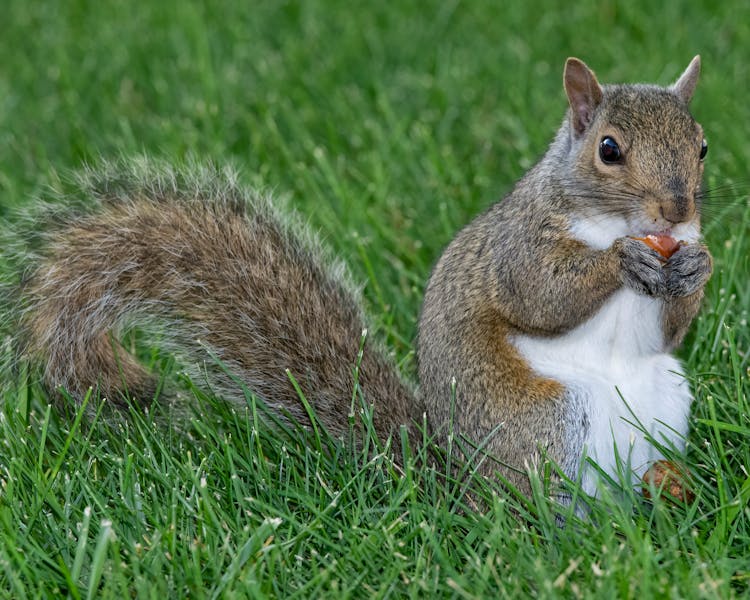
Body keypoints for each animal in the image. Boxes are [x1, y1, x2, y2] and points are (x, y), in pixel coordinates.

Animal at [10, 57, 712, 496]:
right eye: (609, 149)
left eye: (702, 145)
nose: (678, 211)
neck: (611, 221)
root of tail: (459, 486)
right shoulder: (518, 246)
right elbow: (539, 295)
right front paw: (620, 260)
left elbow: (668, 329)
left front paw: (699, 267)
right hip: (547, 424)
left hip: (668, 398)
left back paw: (658, 493)